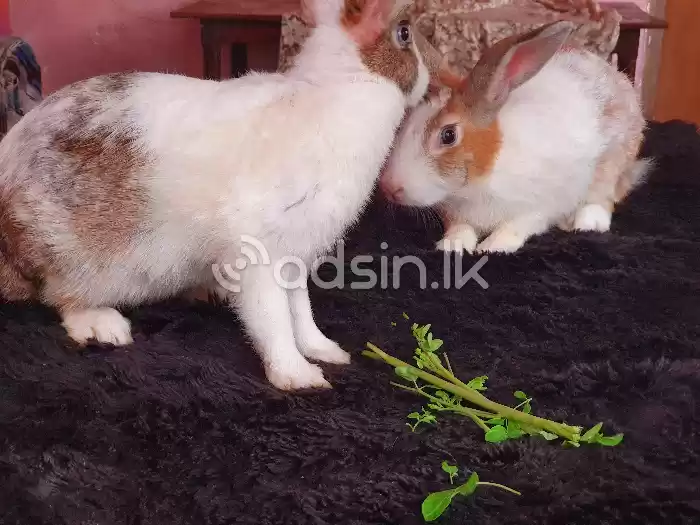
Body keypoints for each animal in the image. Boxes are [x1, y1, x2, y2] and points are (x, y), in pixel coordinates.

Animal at [0, 0, 434, 391]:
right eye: (404, 33)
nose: (430, 79)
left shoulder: (295, 256)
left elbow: (300, 312)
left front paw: (326, 352)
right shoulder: (259, 255)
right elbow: (273, 319)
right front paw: (299, 378)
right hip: (75, 260)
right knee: (61, 298)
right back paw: (104, 326)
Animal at [379, 21, 652, 255]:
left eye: (448, 135)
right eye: (404, 123)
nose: (389, 188)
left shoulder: (541, 205)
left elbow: (518, 225)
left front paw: (493, 246)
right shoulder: (455, 213)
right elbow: (460, 227)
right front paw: (453, 245)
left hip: (611, 160)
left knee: (603, 197)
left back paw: (586, 222)